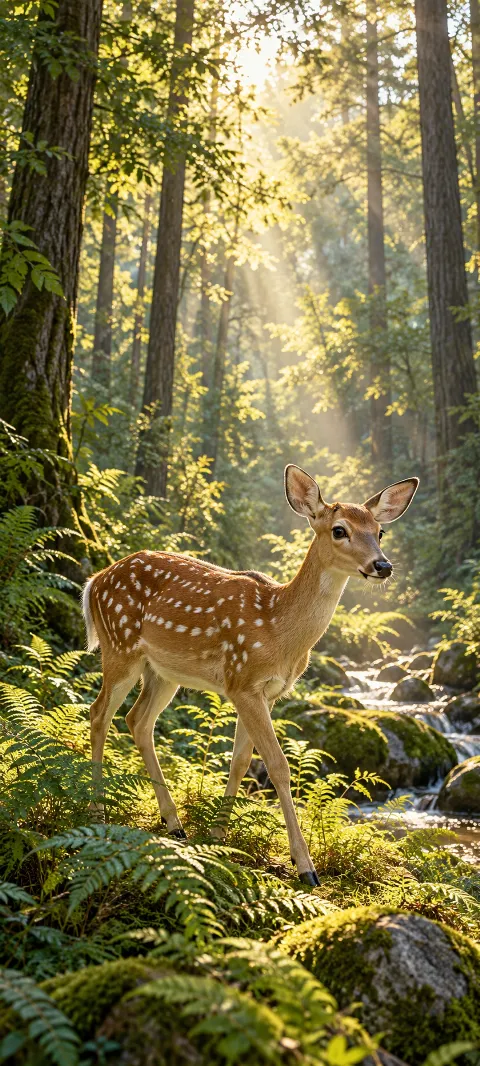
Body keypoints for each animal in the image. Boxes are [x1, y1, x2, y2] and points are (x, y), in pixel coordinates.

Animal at [82, 465, 418, 886]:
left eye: (380, 531)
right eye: (339, 530)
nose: (382, 565)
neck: (278, 628)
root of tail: (94, 581)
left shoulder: (261, 691)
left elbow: (241, 761)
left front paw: (217, 835)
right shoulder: (243, 681)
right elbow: (277, 765)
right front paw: (305, 866)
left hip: (163, 672)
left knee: (137, 720)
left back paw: (174, 823)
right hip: (120, 648)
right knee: (99, 713)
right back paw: (97, 811)